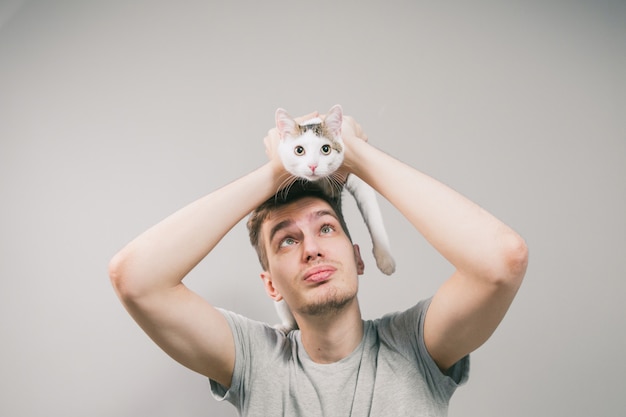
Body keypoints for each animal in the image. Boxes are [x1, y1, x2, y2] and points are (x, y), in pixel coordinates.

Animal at [270, 105, 392, 332]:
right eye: (299, 150)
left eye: (325, 149)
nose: (312, 166)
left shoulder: (356, 177)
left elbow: (373, 215)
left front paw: (385, 258)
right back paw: (285, 326)